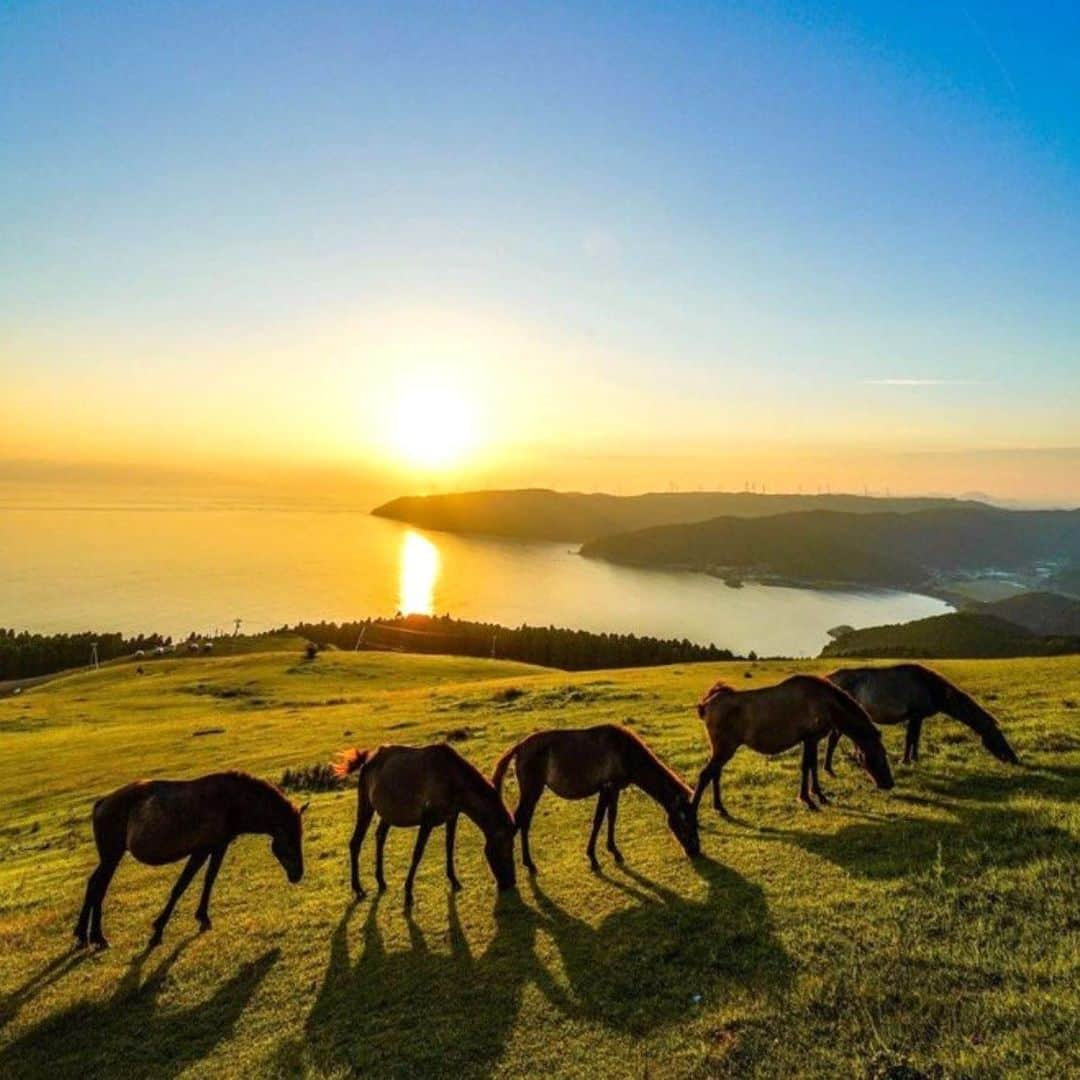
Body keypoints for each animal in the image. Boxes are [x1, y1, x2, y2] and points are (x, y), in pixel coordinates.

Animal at [75, 773, 304, 950]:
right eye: (290, 841)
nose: (298, 874)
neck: (231, 801)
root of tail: (103, 803)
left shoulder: (218, 847)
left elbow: (209, 880)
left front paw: (203, 918)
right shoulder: (200, 851)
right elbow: (181, 886)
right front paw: (158, 930)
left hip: (111, 856)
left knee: (95, 884)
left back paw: (84, 935)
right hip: (111, 855)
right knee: (98, 885)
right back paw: (96, 936)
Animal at [334, 738, 516, 907]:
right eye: (506, 851)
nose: (510, 882)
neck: (454, 780)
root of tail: (367, 761)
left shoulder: (452, 816)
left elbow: (449, 847)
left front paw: (454, 880)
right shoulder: (427, 819)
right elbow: (417, 853)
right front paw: (408, 894)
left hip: (387, 812)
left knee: (380, 837)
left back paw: (381, 881)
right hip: (366, 804)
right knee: (355, 842)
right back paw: (358, 888)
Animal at [492, 721, 699, 872]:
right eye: (685, 823)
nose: (696, 851)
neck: (625, 752)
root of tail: (519, 747)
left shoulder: (611, 789)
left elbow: (608, 817)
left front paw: (608, 852)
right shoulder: (608, 787)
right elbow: (602, 819)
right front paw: (598, 856)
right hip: (532, 790)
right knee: (523, 820)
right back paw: (529, 864)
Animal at [691, 669, 894, 812]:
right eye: (879, 754)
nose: (889, 783)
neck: (830, 708)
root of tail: (705, 705)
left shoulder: (811, 739)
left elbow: (812, 766)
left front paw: (817, 795)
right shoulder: (810, 737)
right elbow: (807, 766)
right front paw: (808, 798)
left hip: (721, 748)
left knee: (715, 773)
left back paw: (719, 806)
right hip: (725, 747)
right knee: (705, 774)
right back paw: (693, 811)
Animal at [825, 660, 1019, 773]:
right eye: (998, 736)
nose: (1015, 759)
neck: (933, 689)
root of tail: (828, 678)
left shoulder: (917, 717)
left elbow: (915, 738)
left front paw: (914, 759)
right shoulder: (915, 714)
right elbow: (911, 738)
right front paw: (906, 760)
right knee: (833, 739)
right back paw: (829, 768)